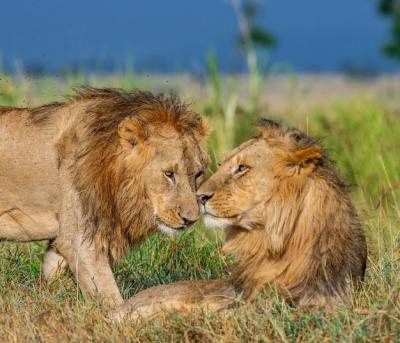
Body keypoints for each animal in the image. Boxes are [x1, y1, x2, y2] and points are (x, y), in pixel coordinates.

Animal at [0, 88, 206, 306]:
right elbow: (111, 297)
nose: (191, 220)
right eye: (169, 174)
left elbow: (53, 273)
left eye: (198, 174)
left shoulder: (62, 241)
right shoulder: (79, 240)